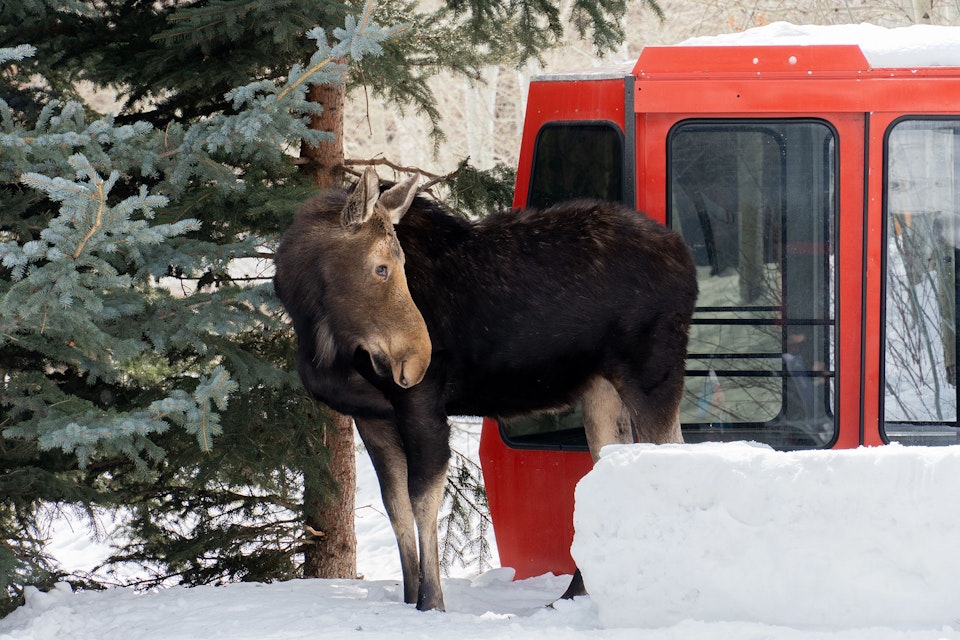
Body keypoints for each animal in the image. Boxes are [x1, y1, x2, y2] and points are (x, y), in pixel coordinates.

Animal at [274, 168, 692, 612]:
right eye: (381, 268)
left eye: (402, 265)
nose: (418, 357)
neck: (320, 332)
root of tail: (686, 258)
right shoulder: (369, 416)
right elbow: (396, 505)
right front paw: (408, 598)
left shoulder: (422, 400)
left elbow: (423, 499)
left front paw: (431, 602)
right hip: (601, 390)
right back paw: (575, 591)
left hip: (652, 372)